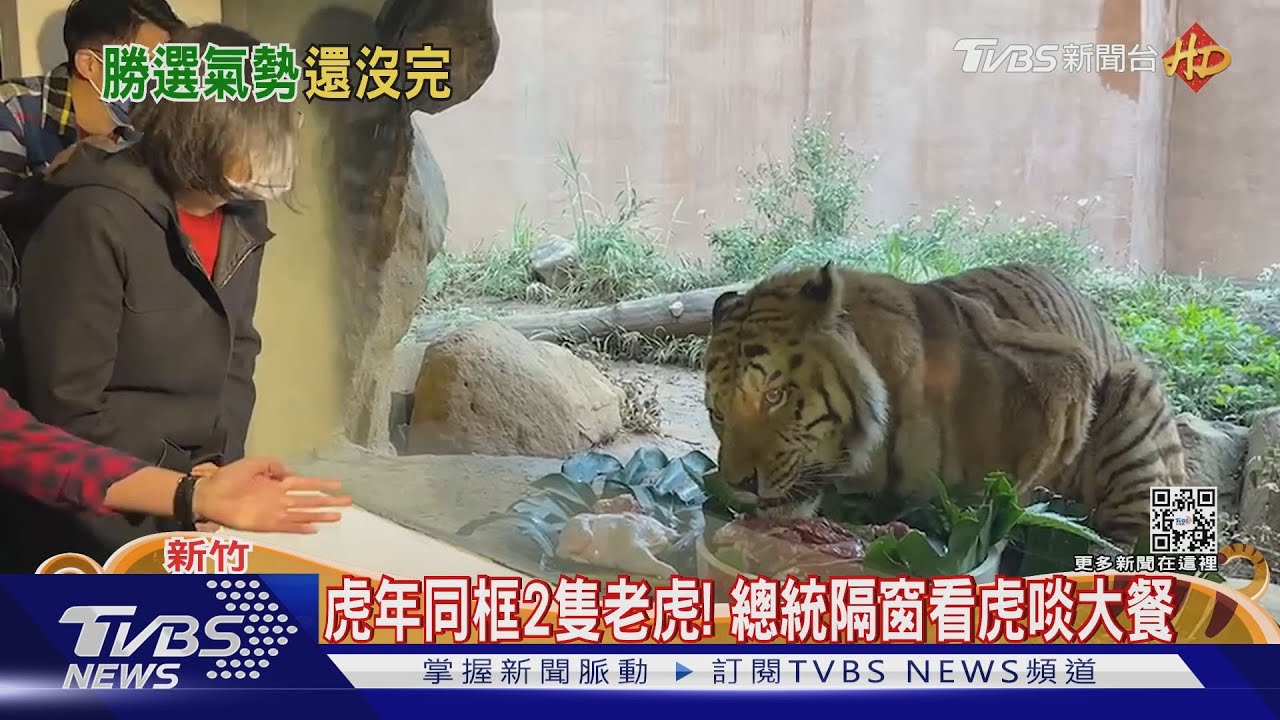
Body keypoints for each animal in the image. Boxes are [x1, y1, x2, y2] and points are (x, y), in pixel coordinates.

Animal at [703, 261, 1187, 547]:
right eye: (717, 413)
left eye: (775, 395)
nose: (739, 483)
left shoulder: (1063, 375)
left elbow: (1009, 490)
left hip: (1133, 392)